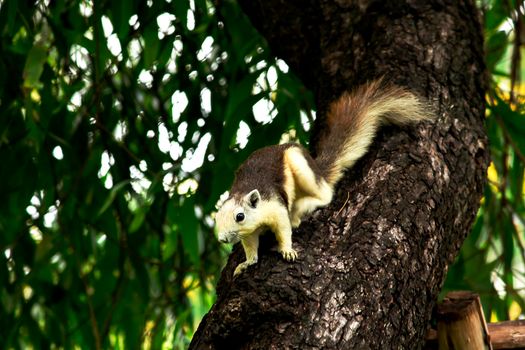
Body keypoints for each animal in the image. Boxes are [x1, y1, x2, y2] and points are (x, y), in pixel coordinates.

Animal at [215, 79, 432, 276]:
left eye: (240, 216)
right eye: (216, 218)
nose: (223, 239)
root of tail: (318, 169)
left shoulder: (275, 206)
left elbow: (284, 229)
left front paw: (287, 250)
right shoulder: (249, 232)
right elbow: (251, 247)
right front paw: (246, 263)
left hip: (300, 165)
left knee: (325, 194)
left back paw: (301, 209)